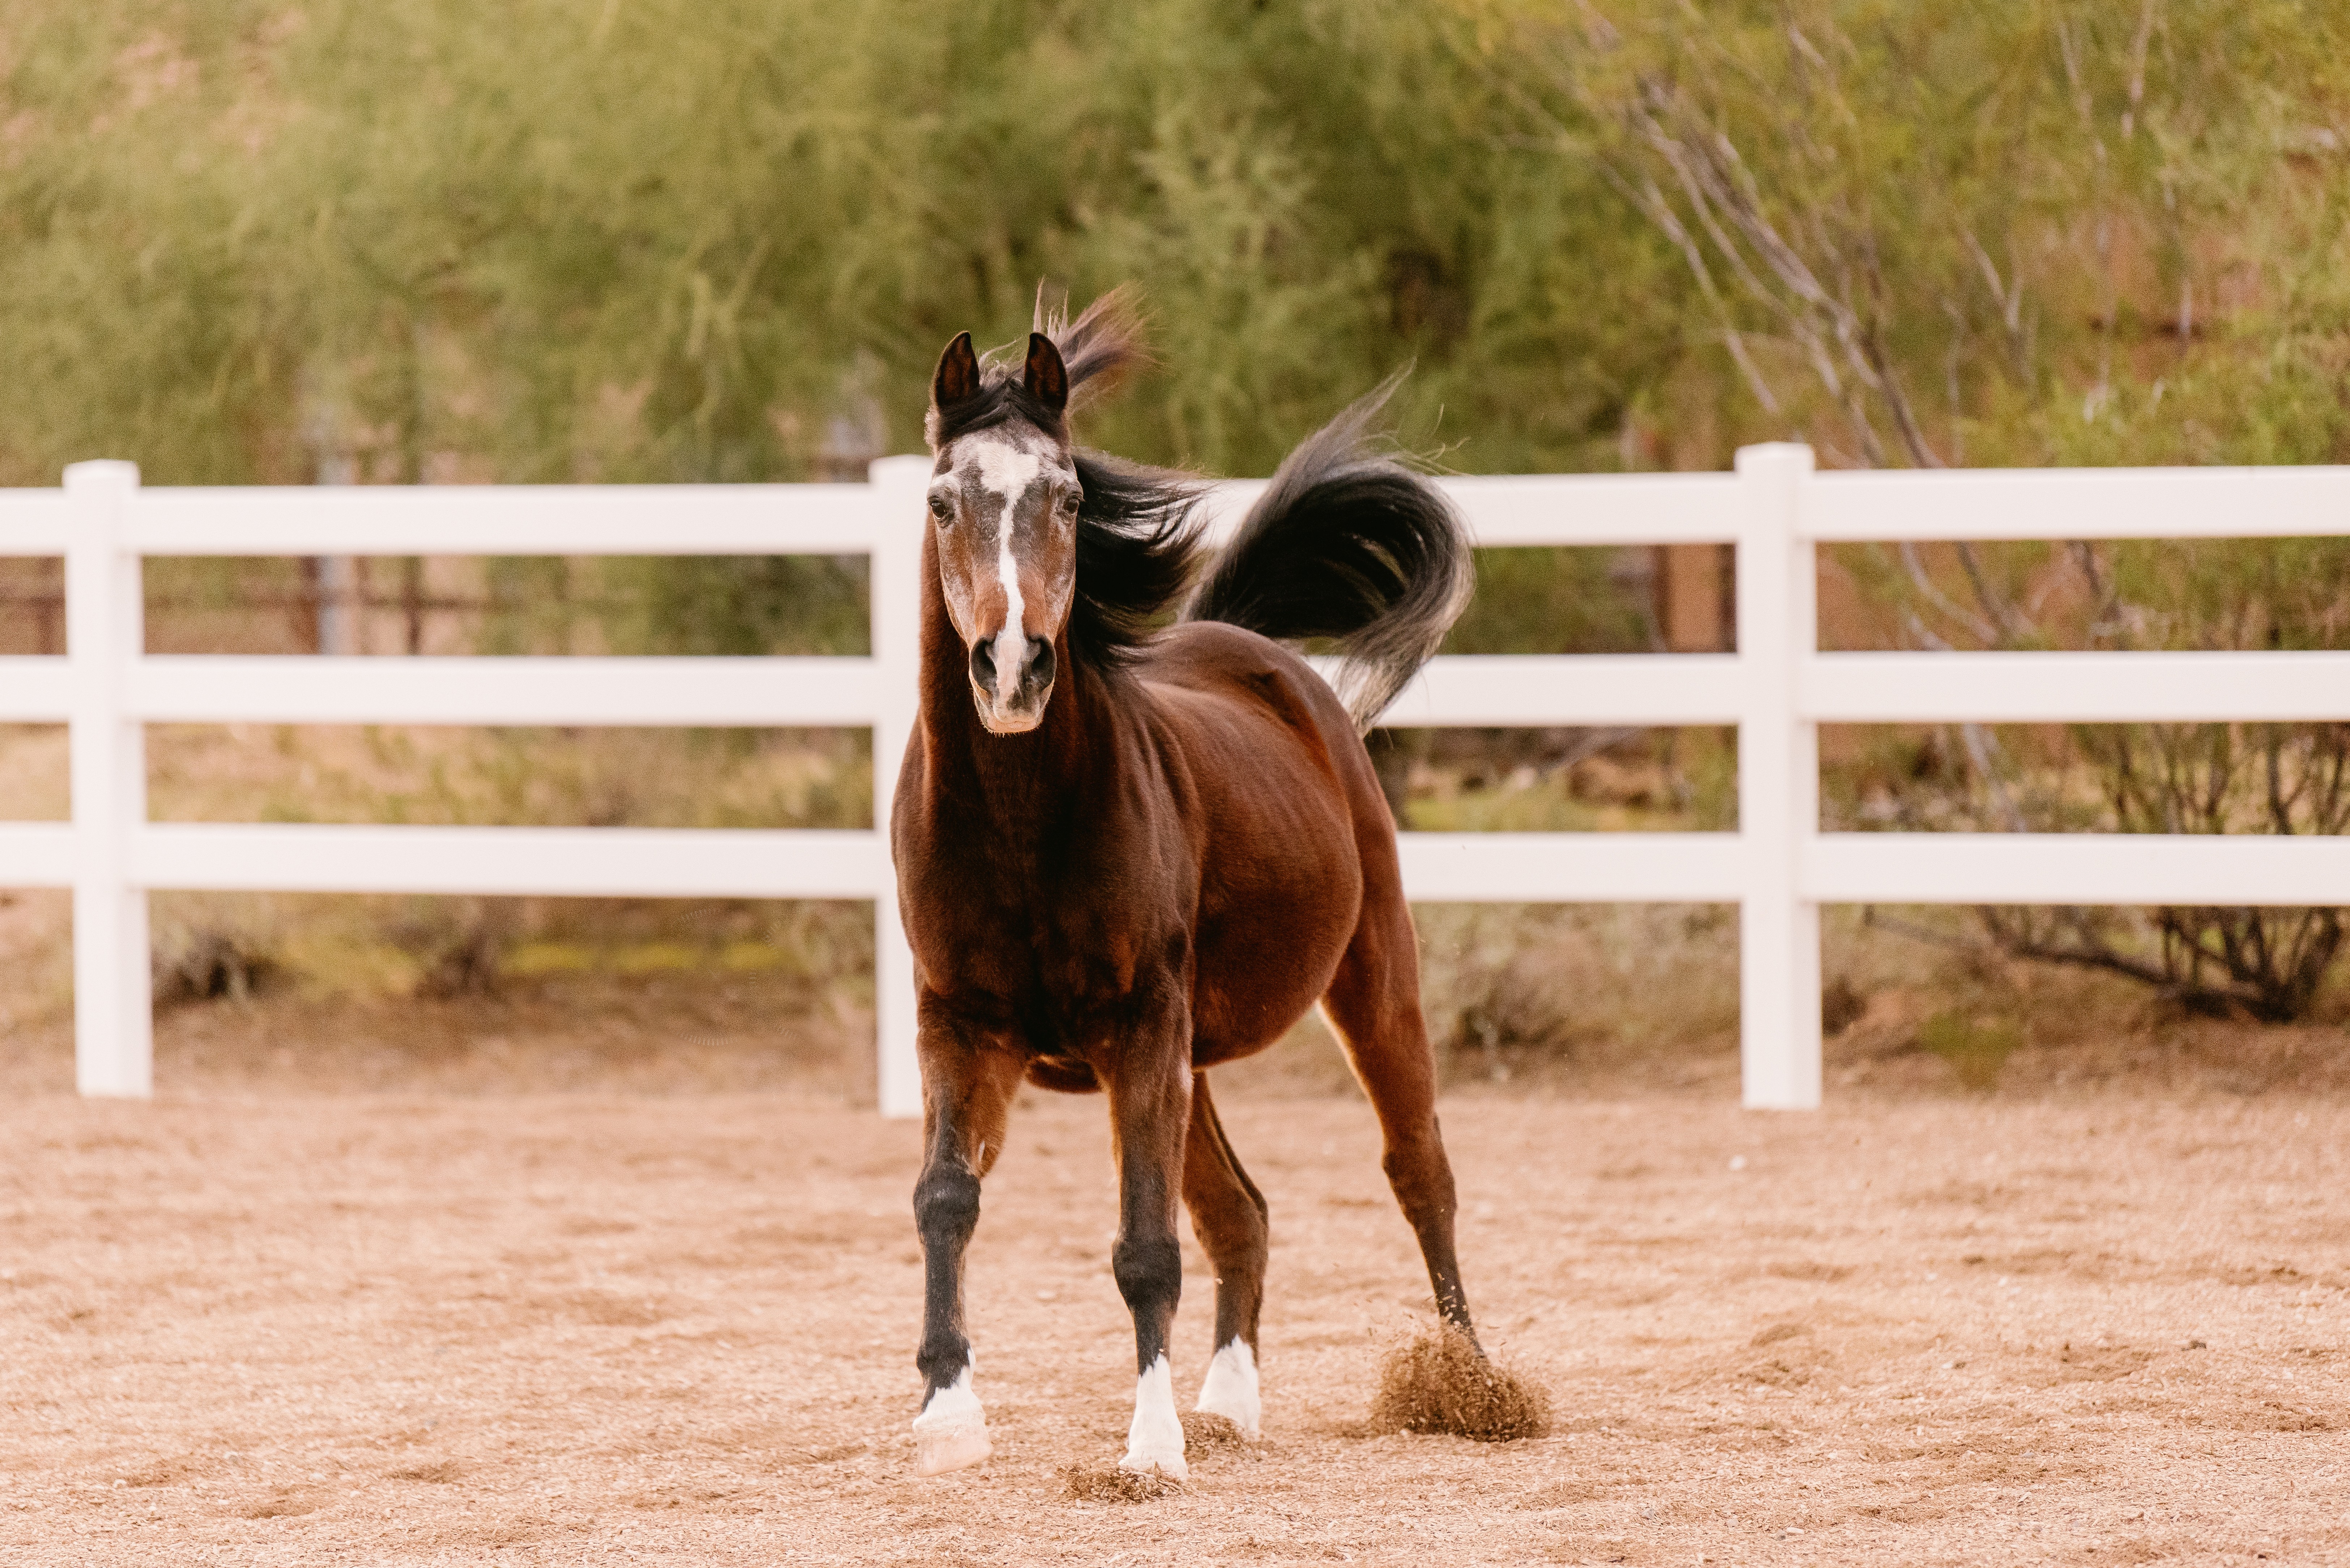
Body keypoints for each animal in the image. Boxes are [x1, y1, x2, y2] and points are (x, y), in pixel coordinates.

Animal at [893, 294, 1485, 1486]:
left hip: (1367, 978)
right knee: (1241, 1211)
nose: (1012, 665)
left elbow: (1144, 1248)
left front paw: (1151, 1448)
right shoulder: (959, 1021)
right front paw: (946, 1414)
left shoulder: (1137, 1025)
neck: (1017, 822)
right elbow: (945, 1198)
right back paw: (1229, 1403)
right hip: (1186, 1057)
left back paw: (1474, 1384)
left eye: (1071, 497)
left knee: (1418, 1169)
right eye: (941, 502)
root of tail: (1256, 652)